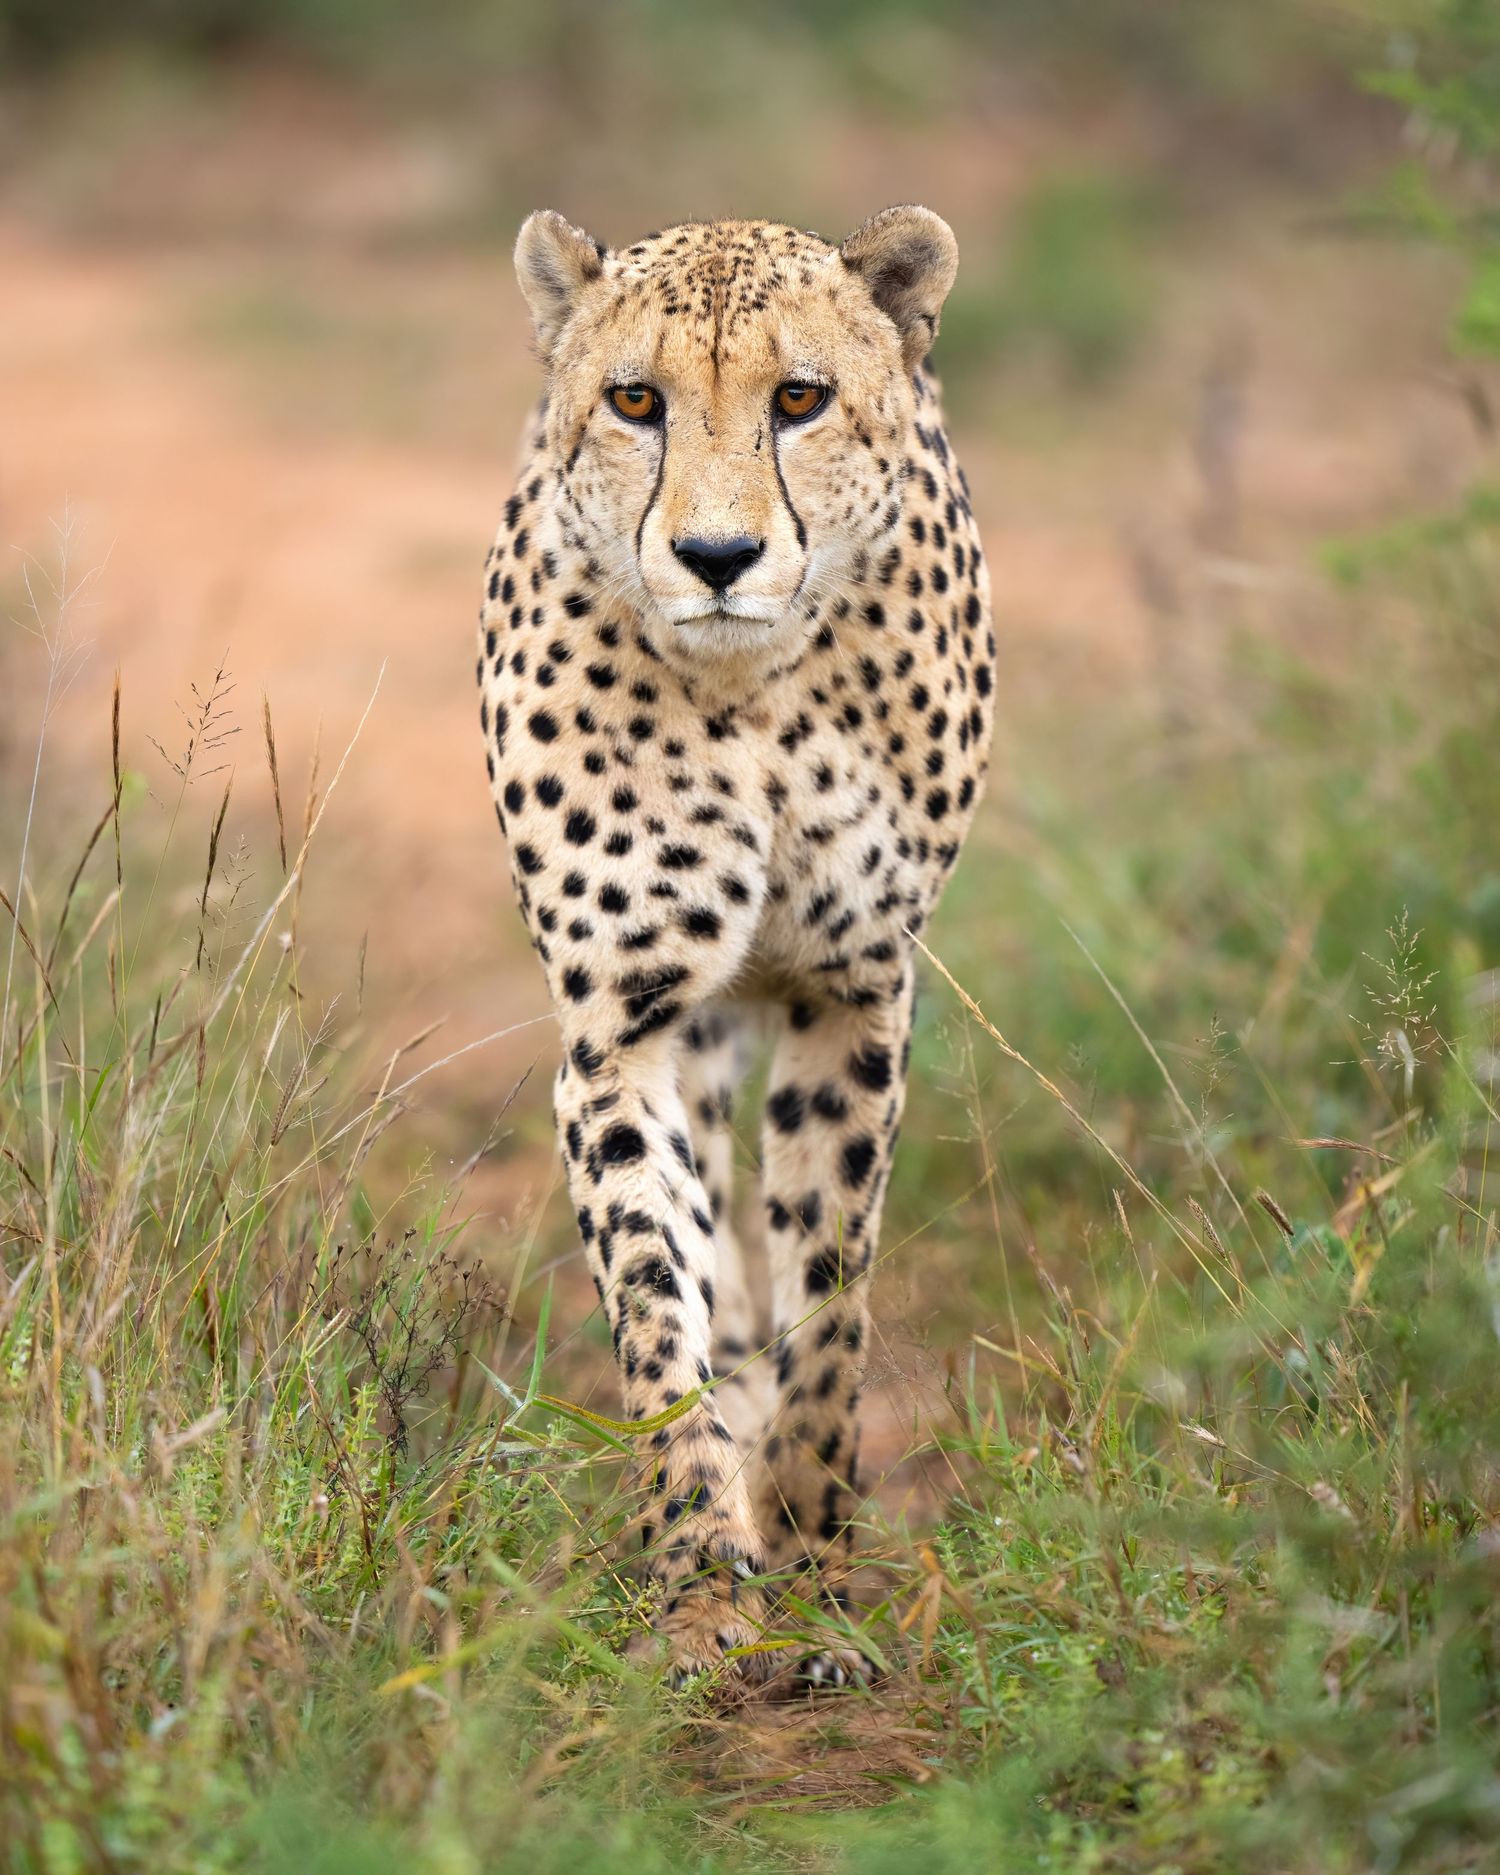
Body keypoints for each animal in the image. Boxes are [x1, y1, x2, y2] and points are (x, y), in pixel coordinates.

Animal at [475, 206, 995, 1689]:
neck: (754, 692)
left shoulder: (854, 998)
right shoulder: (623, 1028)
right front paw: (704, 1582)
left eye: (800, 400)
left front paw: (817, 1576)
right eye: (636, 401)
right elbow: (661, 1300)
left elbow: (832, 1307)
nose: (716, 557)